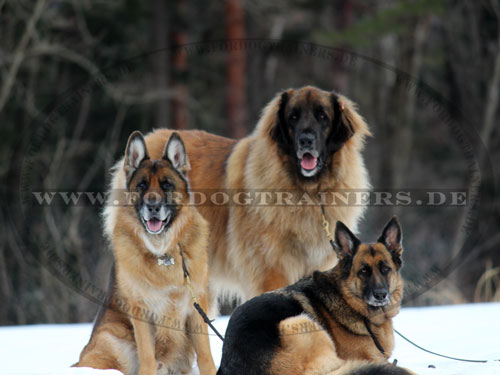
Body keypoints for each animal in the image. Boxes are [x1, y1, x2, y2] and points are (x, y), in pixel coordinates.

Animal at [76, 132, 215, 375]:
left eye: (167, 185)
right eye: (141, 185)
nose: (153, 207)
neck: (163, 253)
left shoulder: (196, 309)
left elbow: (206, 357)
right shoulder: (141, 313)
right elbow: (148, 358)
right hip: (115, 340)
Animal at [106, 86, 372, 304]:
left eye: (322, 116)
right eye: (293, 117)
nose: (305, 140)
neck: (309, 192)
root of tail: (150, 137)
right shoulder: (271, 271)